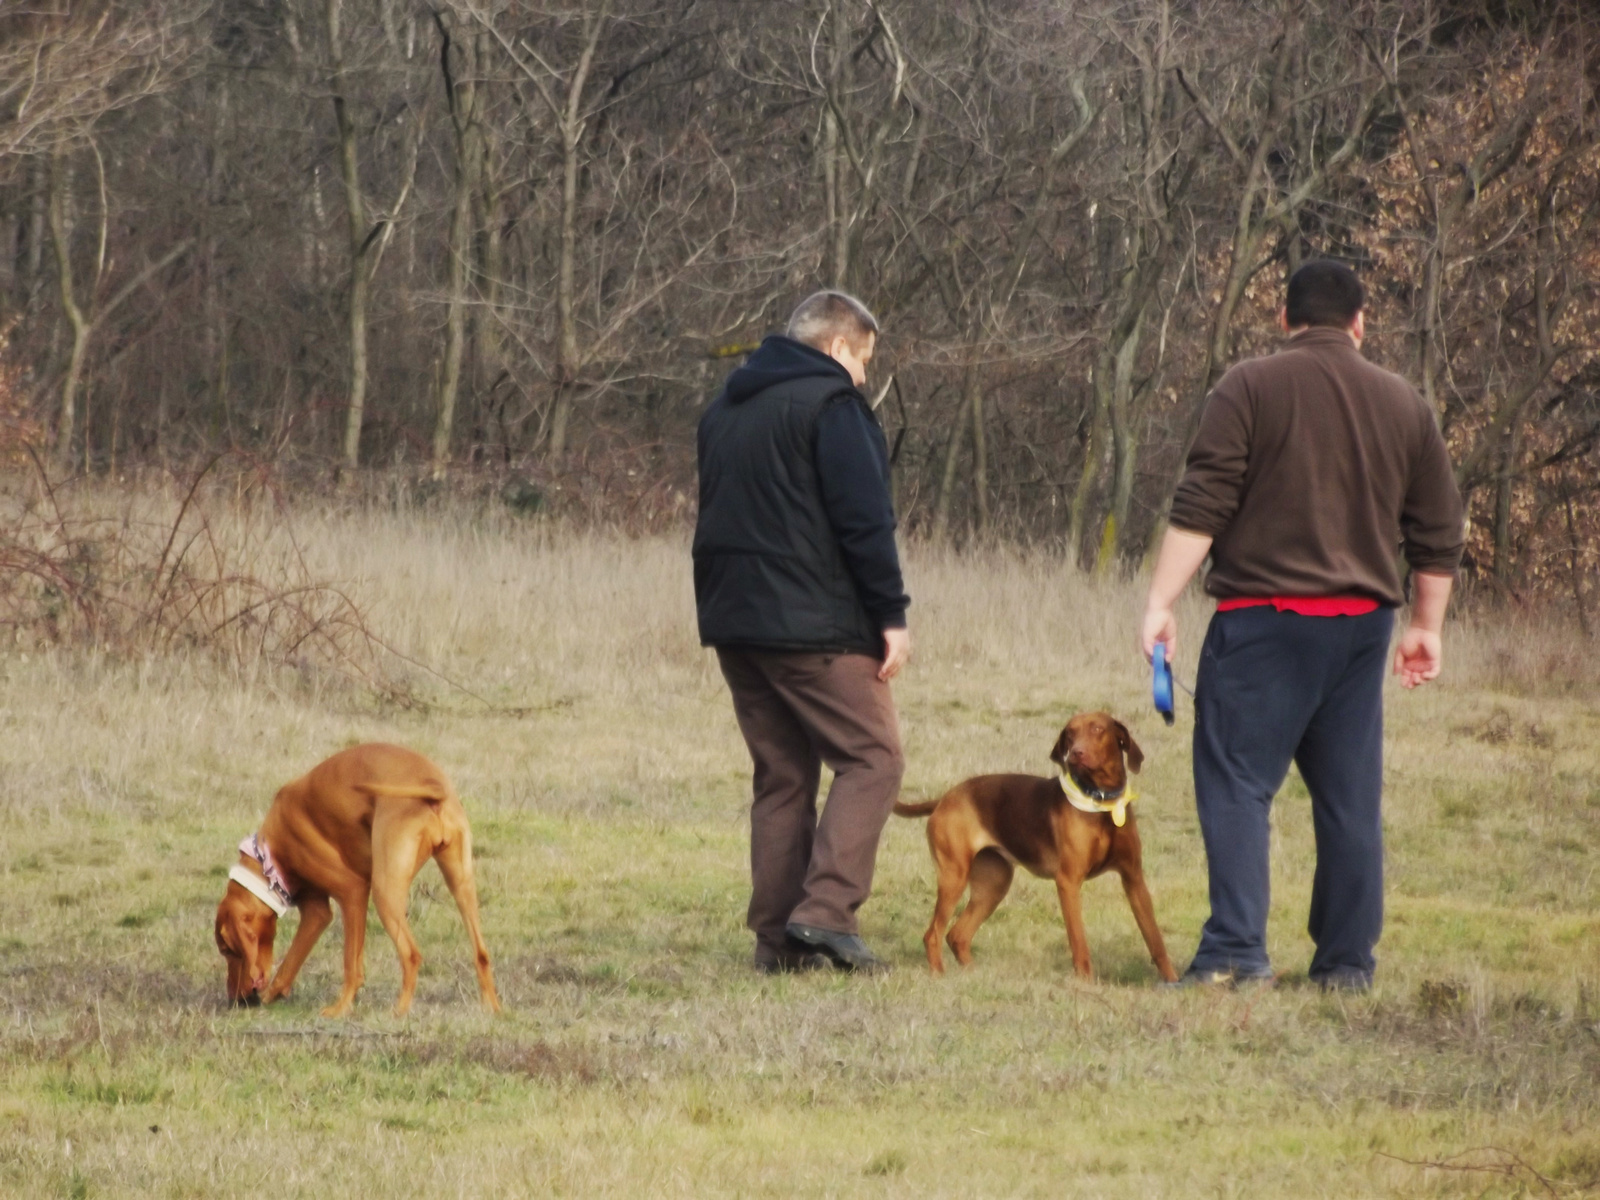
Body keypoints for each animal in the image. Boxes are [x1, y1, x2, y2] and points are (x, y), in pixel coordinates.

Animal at [214, 748, 499, 1017]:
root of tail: (434, 788)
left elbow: (351, 965)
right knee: (482, 954)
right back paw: (492, 1007)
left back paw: (399, 1011)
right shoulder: (317, 913)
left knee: (411, 955)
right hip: (460, 884)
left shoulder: (352, 893)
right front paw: (273, 994)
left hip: (385, 894)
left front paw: (340, 1009)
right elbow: (290, 964)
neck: (268, 856)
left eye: (227, 950)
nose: (236, 1001)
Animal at [902, 713, 1177, 985]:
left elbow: (1155, 939)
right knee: (933, 935)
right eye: (1070, 733)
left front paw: (1171, 981)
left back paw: (973, 975)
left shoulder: (1133, 879)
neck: (1101, 803)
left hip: (993, 885)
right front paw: (1085, 983)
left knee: (957, 935)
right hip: (955, 877)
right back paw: (939, 975)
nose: (1076, 753)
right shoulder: (1068, 881)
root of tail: (945, 799)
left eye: (1098, 729)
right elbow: (1079, 941)